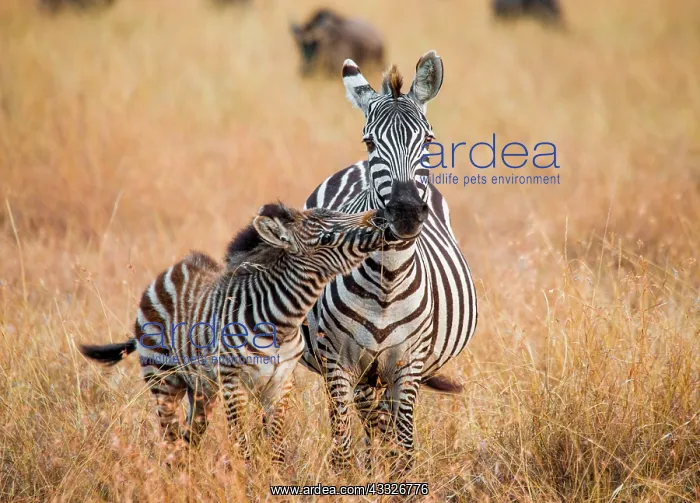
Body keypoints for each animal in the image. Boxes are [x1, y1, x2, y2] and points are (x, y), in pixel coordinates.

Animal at [79, 203, 387, 464]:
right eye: (326, 238)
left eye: (336, 212)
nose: (378, 217)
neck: (283, 323)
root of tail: (174, 269)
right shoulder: (232, 382)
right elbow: (242, 444)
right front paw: (250, 481)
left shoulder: (281, 382)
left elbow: (276, 446)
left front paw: (275, 479)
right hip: (163, 379)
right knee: (170, 439)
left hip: (201, 388)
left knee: (189, 437)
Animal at [300, 51, 478, 471]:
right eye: (370, 141)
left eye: (428, 140)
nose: (406, 212)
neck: (387, 280)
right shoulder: (337, 361)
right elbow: (342, 449)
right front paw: (353, 476)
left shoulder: (407, 364)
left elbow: (406, 447)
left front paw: (395, 475)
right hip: (360, 372)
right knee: (369, 418)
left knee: (382, 421)